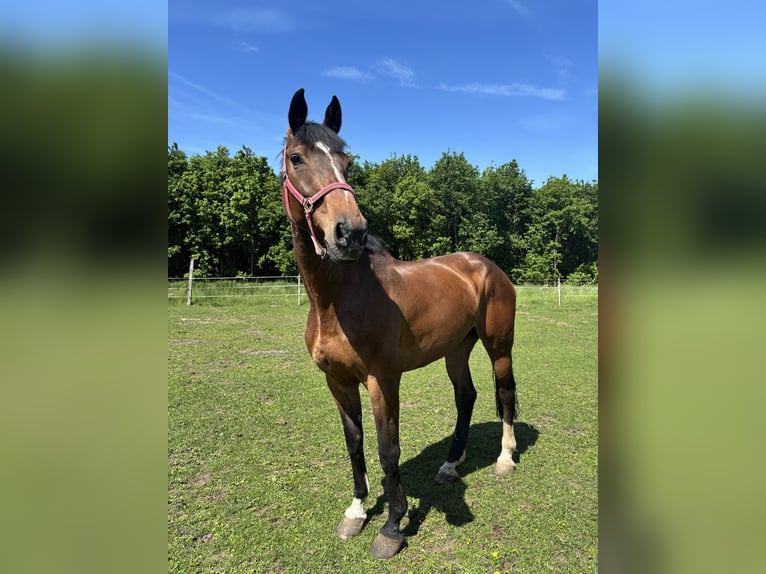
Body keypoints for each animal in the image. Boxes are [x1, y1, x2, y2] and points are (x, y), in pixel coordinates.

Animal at [281, 88, 518, 559]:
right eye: (296, 158)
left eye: (347, 160)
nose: (350, 232)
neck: (337, 301)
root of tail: (487, 267)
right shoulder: (337, 381)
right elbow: (354, 443)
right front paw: (356, 512)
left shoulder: (382, 380)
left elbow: (387, 449)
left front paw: (392, 527)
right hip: (456, 350)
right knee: (466, 397)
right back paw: (450, 464)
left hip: (498, 346)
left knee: (503, 394)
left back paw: (505, 458)